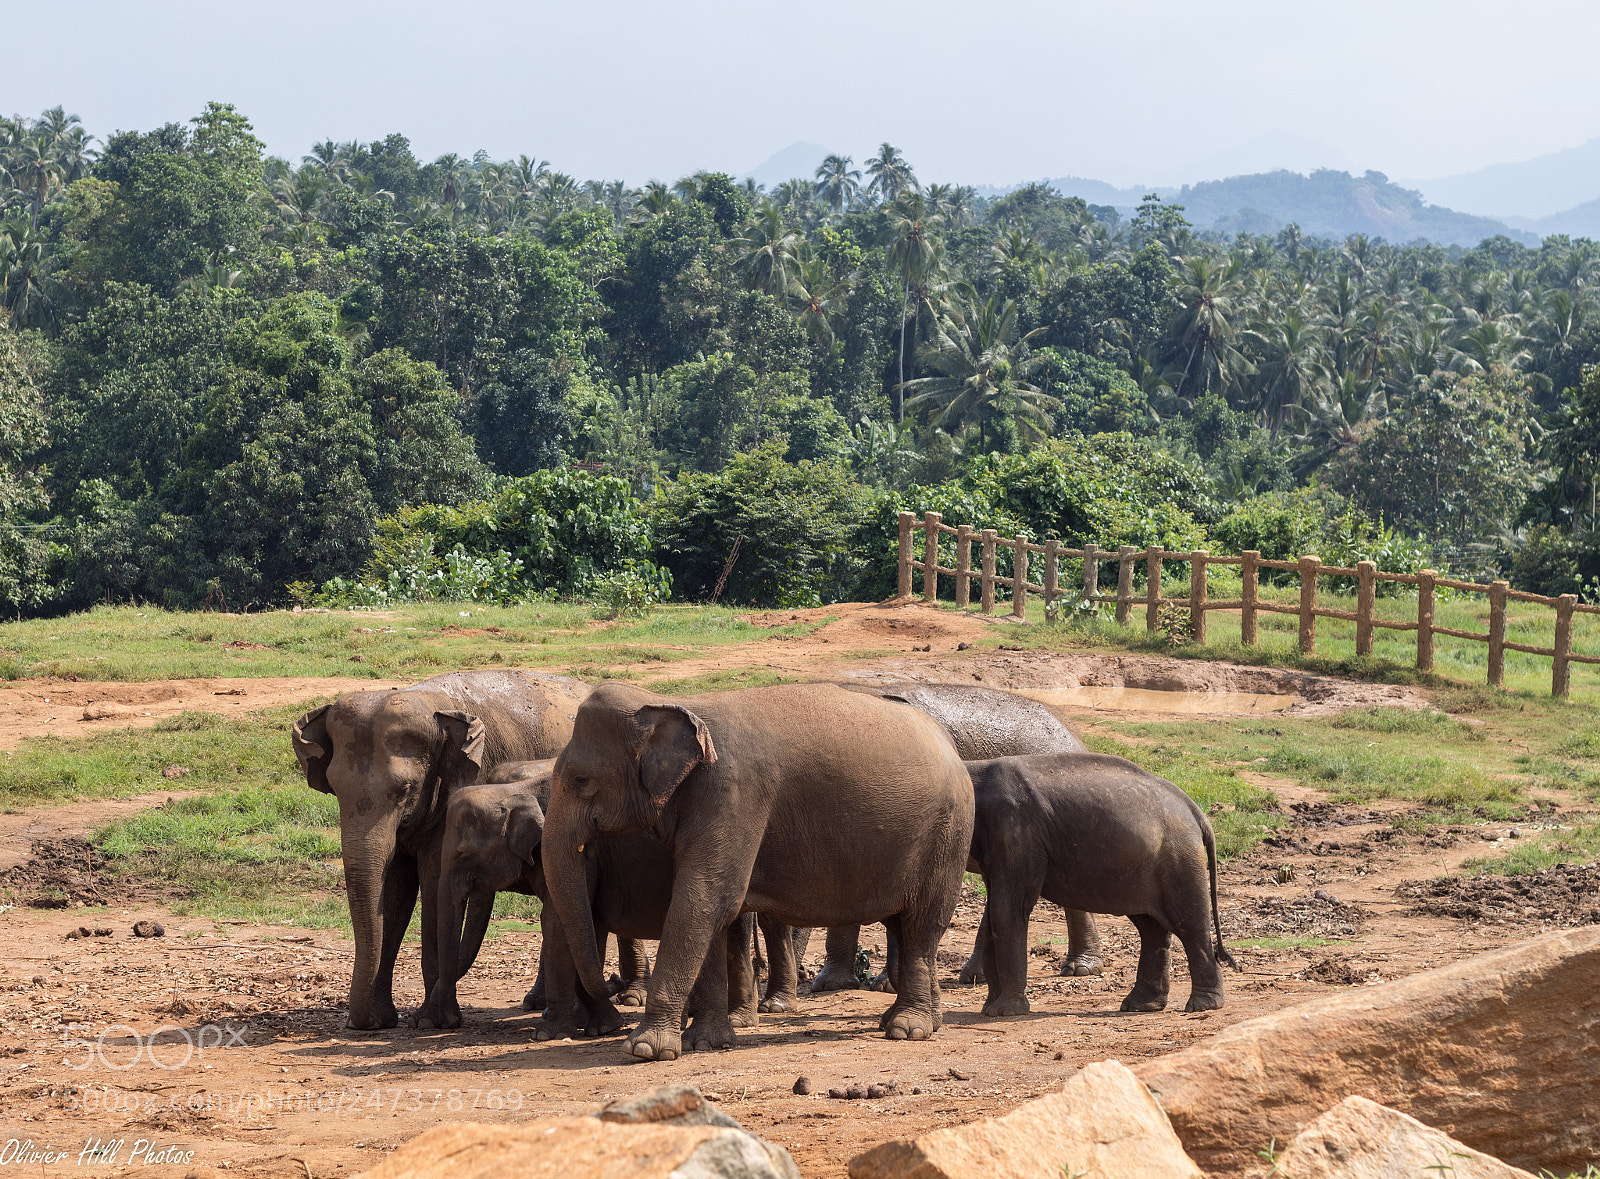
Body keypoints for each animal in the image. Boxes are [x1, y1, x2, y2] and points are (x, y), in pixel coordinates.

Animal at [290, 669, 589, 1030]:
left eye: (405, 789)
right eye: (334, 789)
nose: (361, 1023)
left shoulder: (457, 789)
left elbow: (433, 882)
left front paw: (432, 1021)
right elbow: (396, 892)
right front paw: (382, 1020)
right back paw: (537, 1002)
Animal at [543, 681, 974, 1061]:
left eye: (581, 779)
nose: (614, 989)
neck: (673, 703)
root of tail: (951, 747)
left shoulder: (734, 795)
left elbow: (706, 899)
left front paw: (644, 1049)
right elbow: (711, 912)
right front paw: (705, 1042)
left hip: (947, 836)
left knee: (922, 923)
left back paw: (907, 1029)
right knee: (905, 924)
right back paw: (919, 1020)